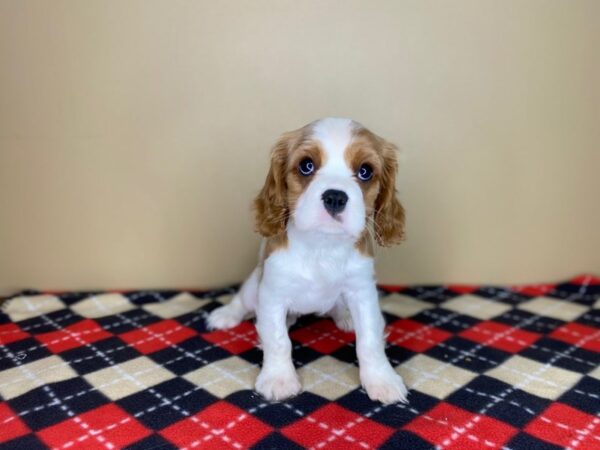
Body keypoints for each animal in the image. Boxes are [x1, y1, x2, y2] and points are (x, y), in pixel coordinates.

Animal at [206, 117, 408, 404]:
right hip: (253, 285)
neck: (322, 246)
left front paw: (382, 380)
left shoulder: (363, 292)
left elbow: (370, 339)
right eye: (306, 165)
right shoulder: (272, 292)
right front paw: (279, 379)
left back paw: (344, 316)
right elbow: (278, 339)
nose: (335, 196)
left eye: (365, 171)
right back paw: (226, 315)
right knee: (242, 300)